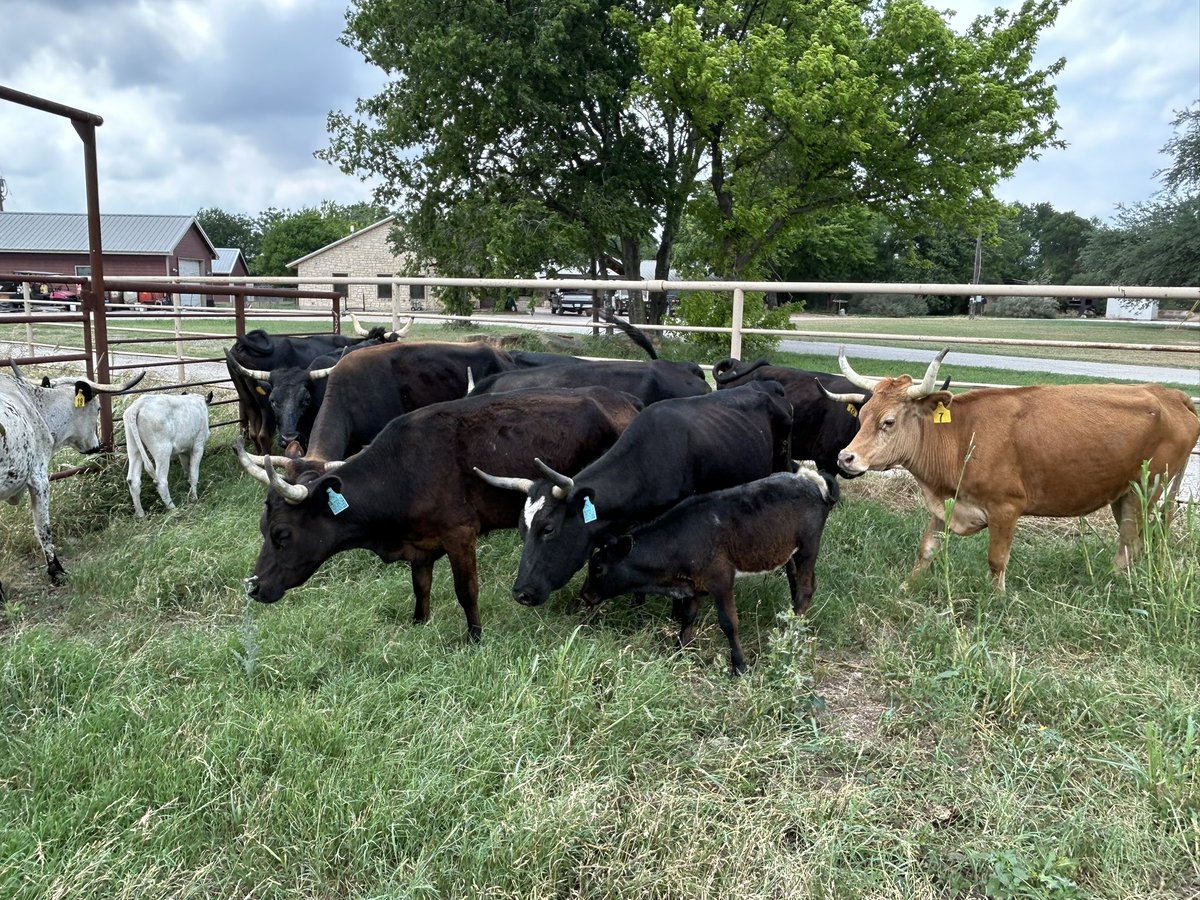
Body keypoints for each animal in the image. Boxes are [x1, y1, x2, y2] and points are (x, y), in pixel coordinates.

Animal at [0, 365, 145, 592]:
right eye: (98, 409)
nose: (96, 446)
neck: (34, 406)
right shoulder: (39, 478)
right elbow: (43, 528)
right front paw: (56, 571)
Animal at [237, 386, 644, 639]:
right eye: (262, 527)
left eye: (283, 534)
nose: (253, 587)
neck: (404, 470)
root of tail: (626, 400)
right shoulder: (421, 545)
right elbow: (421, 588)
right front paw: (419, 625)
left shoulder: (460, 534)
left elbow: (467, 591)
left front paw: (475, 639)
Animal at [586, 468, 839, 674]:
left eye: (597, 567)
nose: (585, 595)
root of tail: (808, 477)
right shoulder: (693, 584)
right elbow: (688, 615)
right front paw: (679, 650)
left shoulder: (721, 579)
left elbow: (728, 623)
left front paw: (739, 666)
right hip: (790, 552)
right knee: (801, 585)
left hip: (808, 547)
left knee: (805, 590)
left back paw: (789, 635)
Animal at [834, 348, 1200, 591]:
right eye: (862, 414)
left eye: (888, 422)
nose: (845, 457)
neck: (962, 437)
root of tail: (1169, 394)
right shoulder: (946, 503)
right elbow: (925, 550)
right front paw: (906, 588)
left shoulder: (1005, 508)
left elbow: (997, 560)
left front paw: (996, 600)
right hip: (1123, 494)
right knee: (1136, 540)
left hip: (1145, 491)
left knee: (1128, 542)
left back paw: (1116, 583)